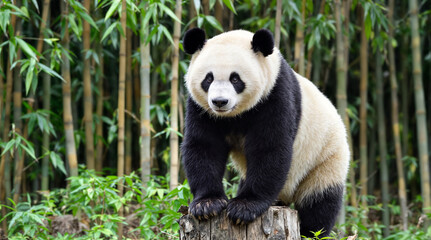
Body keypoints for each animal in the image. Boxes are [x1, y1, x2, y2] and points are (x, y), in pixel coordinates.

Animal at [180, 27, 352, 237]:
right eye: (208, 78)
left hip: (325, 158)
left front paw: (244, 207)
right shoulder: (202, 109)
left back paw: (310, 230)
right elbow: (204, 146)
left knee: (319, 203)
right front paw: (207, 205)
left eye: (235, 79)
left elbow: (270, 148)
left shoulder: (275, 94)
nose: (220, 101)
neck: (233, 115)